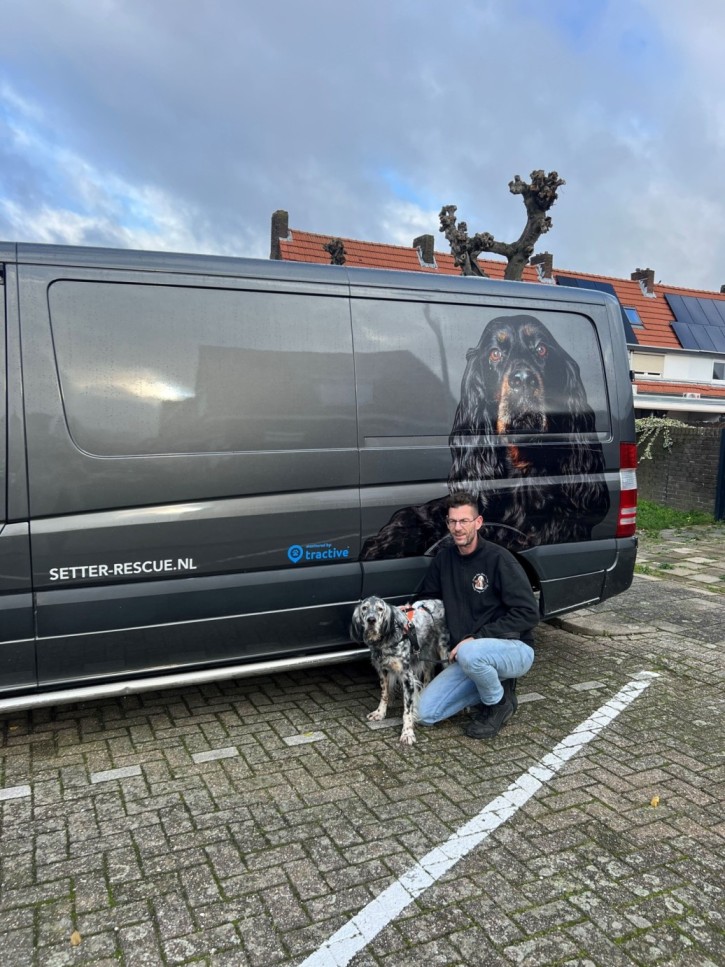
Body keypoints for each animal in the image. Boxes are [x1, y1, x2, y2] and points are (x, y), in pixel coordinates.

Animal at [350, 596, 446, 748]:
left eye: (380, 609)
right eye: (364, 608)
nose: (371, 620)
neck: (385, 640)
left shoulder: (407, 677)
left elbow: (407, 710)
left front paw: (407, 733)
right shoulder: (382, 670)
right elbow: (384, 694)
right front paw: (380, 713)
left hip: (443, 651)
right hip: (425, 654)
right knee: (428, 675)